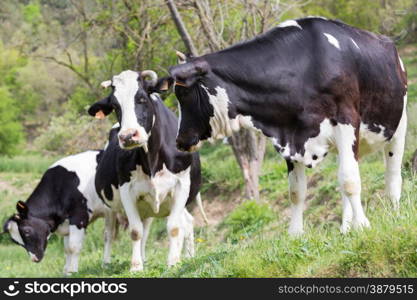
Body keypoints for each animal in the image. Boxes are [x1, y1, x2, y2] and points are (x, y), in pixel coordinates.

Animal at [88, 71, 206, 272]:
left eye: (142, 98)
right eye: (115, 106)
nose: (128, 136)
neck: (152, 160)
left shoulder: (181, 185)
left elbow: (174, 227)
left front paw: (174, 262)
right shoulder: (127, 190)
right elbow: (136, 231)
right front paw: (136, 266)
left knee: (183, 222)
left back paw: (186, 256)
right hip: (110, 207)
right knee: (110, 233)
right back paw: (108, 263)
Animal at [158, 17, 406, 234]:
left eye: (183, 94)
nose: (179, 140)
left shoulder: (346, 121)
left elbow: (350, 180)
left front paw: (362, 226)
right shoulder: (289, 137)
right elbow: (296, 191)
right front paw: (296, 234)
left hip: (397, 124)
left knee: (392, 170)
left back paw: (394, 210)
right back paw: (346, 227)